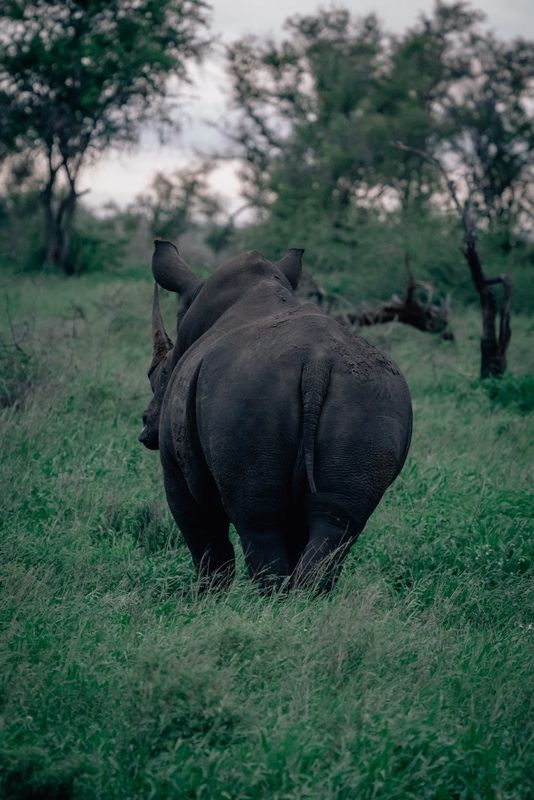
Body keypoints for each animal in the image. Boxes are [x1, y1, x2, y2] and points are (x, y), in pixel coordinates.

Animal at [139, 241, 414, 592]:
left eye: (158, 376)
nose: (146, 426)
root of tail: (318, 361)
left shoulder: (175, 471)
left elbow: (205, 542)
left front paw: (206, 599)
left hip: (249, 392)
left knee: (258, 523)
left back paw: (269, 601)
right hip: (372, 397)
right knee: (338, 521)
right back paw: (306, 600)